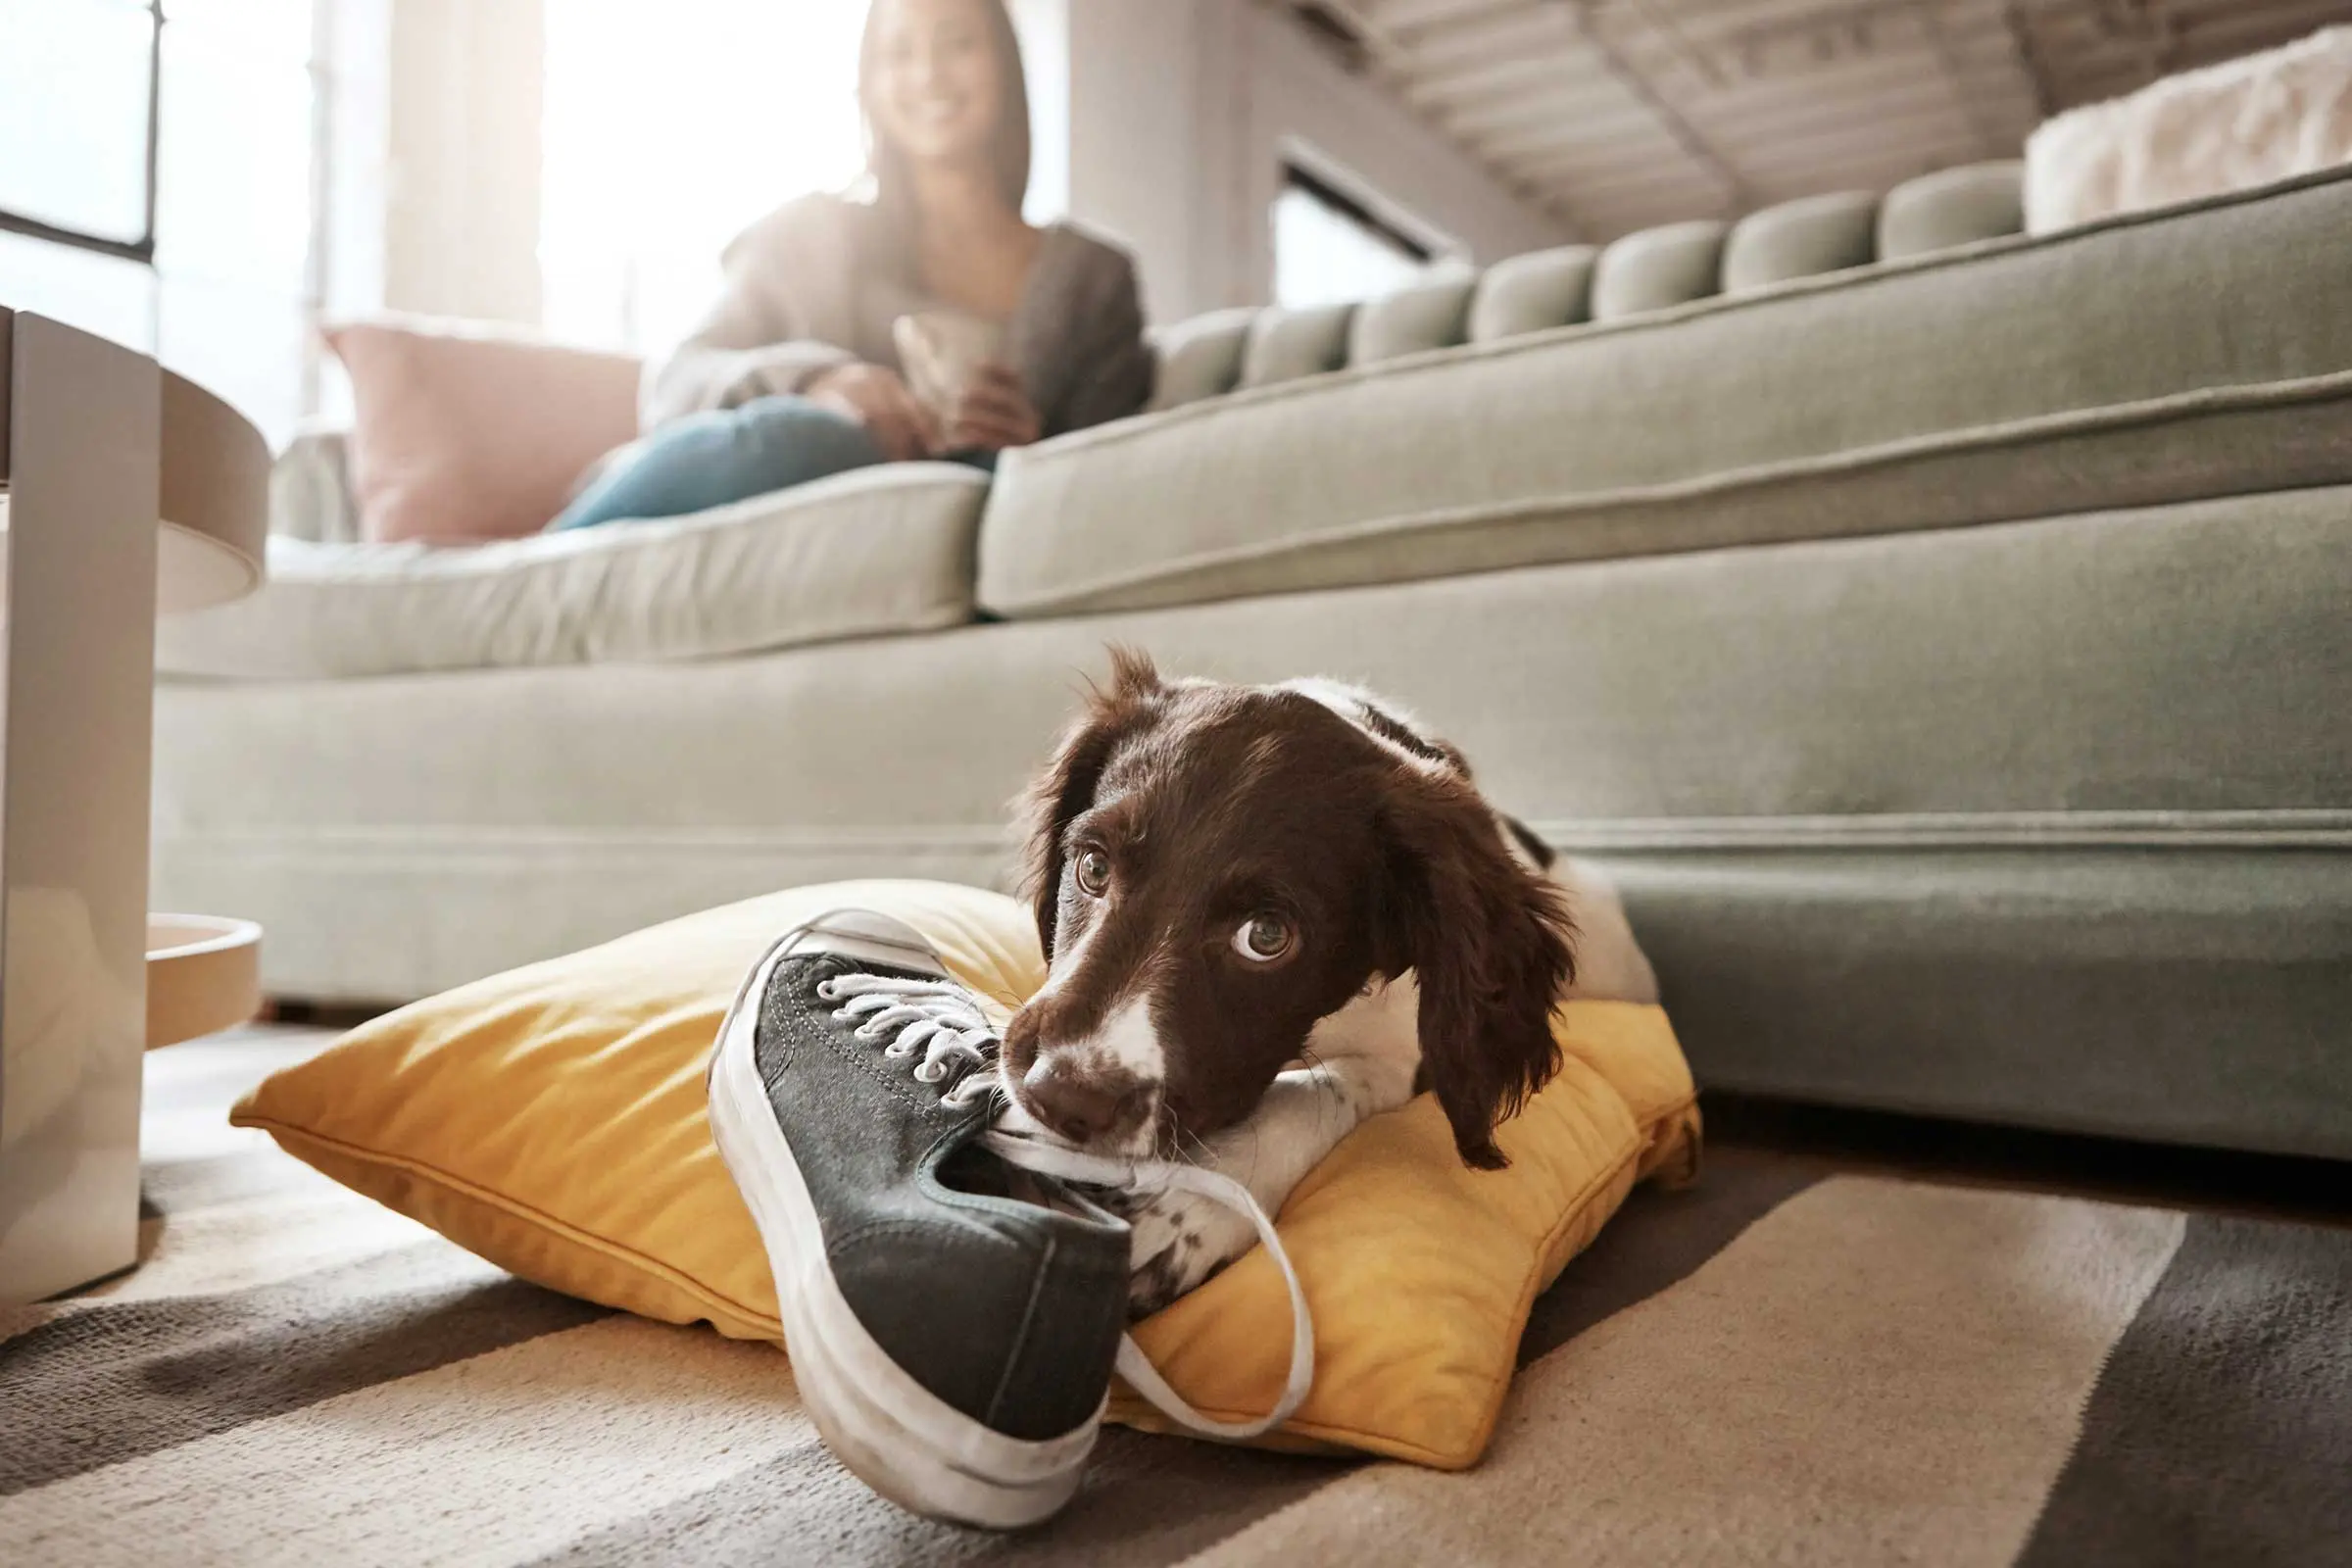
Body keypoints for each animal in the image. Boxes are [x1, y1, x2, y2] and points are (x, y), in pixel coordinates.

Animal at [992, 649, 1655, 1316]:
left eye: (1266, 936)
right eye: (1092, 867)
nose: (1064, 1098)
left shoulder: (1407, 1057)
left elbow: (1319, 1089)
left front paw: (1192, 1208)